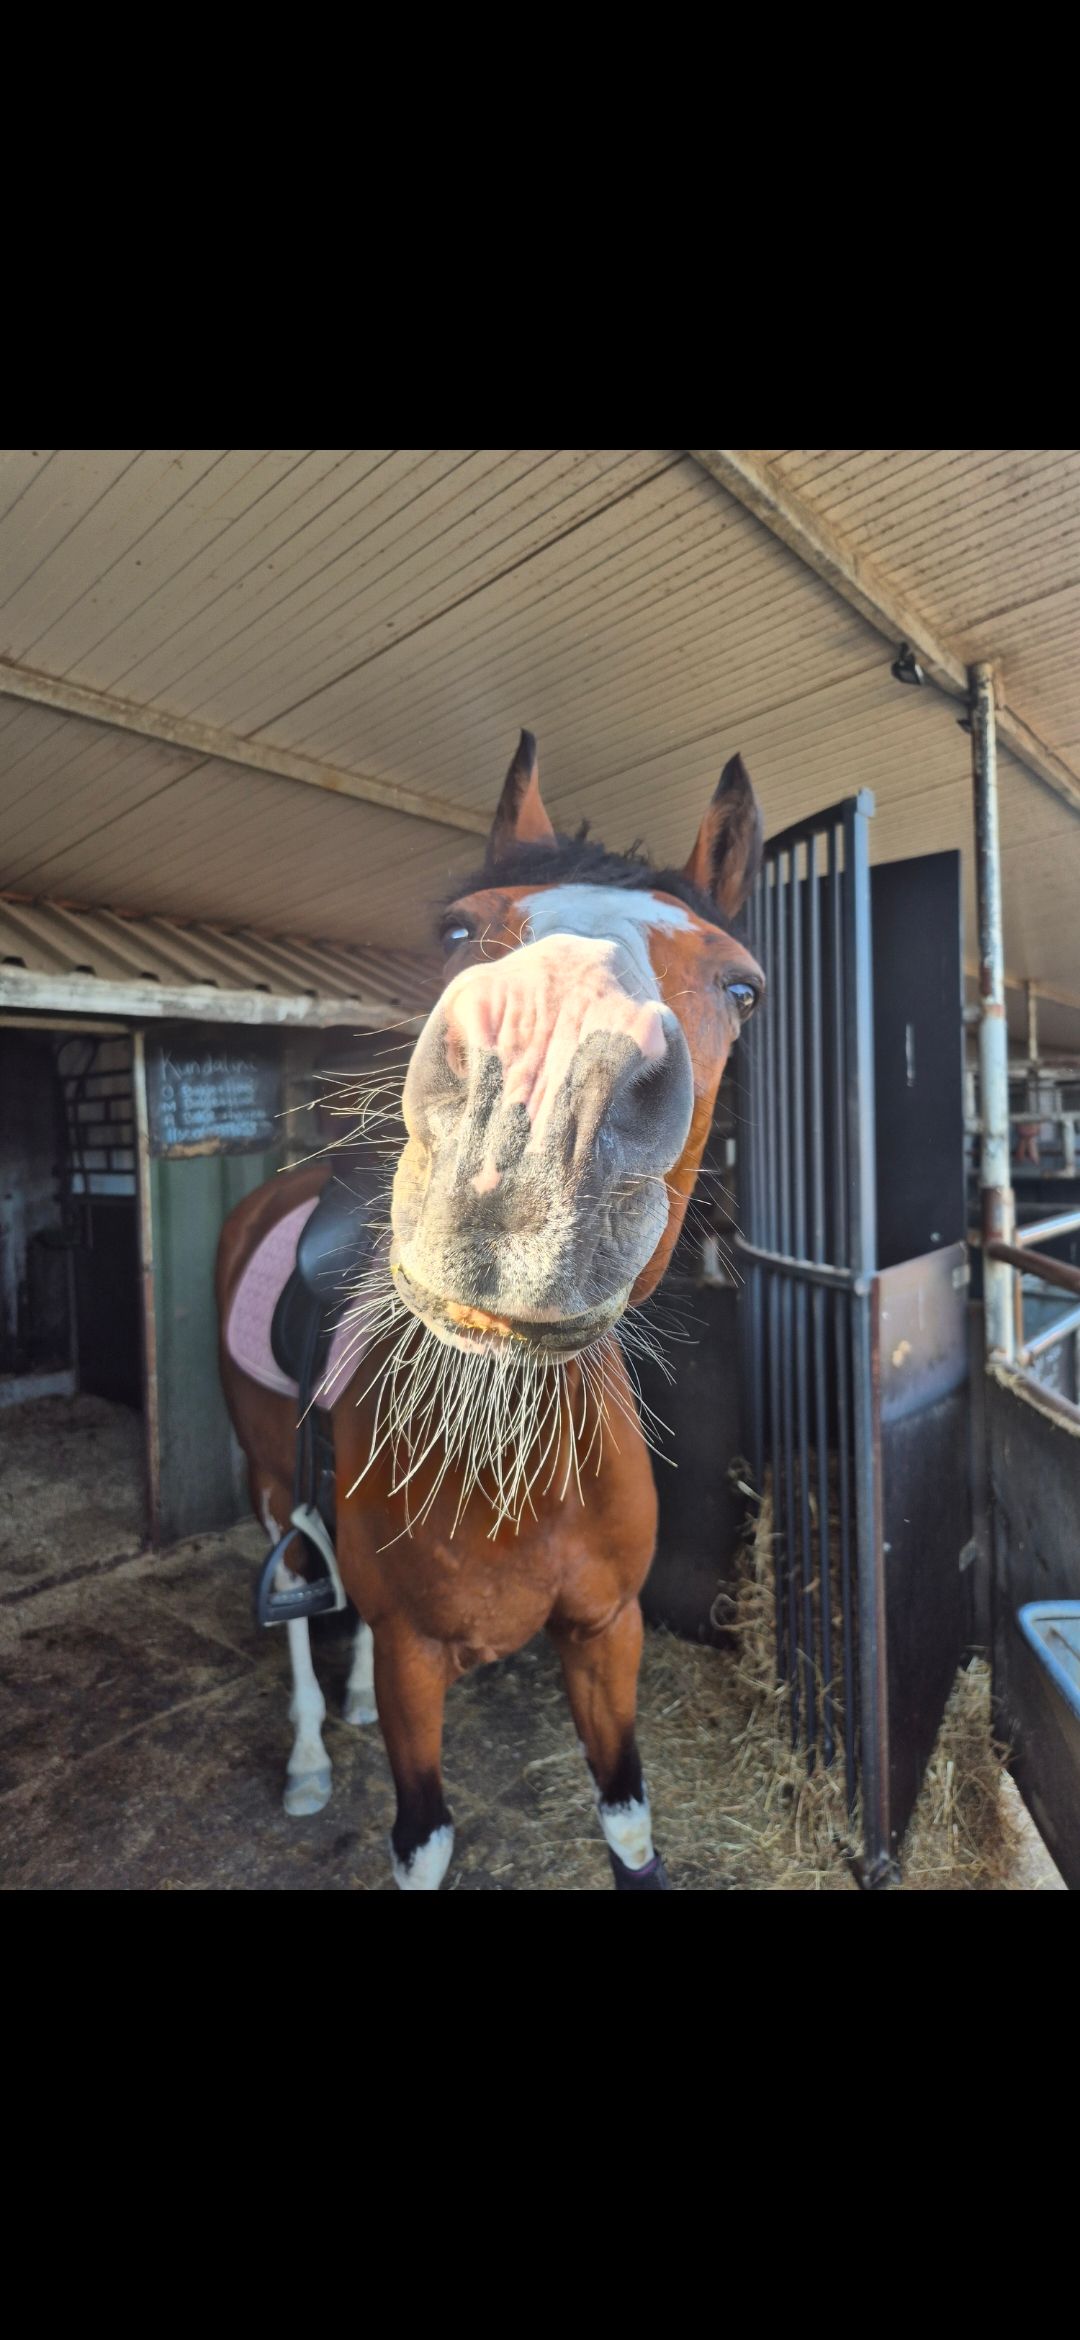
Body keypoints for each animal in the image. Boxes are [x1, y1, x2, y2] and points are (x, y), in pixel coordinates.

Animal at [216, 732, 764, 1889]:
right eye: (460, 932)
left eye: (741, 987)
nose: (531, 1146)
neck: (516, 1465)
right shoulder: (422, 1671)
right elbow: (422, 1841)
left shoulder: (607, 1635)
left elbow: (629, 1826)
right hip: (267, 1474)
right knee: (297, 1593)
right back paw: (308, 1756)